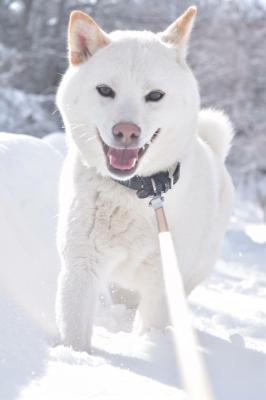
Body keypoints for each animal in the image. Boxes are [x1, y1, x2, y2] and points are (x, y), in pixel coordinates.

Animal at [55, 5, 233, 350]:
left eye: (155, 95)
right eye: (105, 91)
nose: (126, 131)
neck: (137, 192)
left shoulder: (163, 284)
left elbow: (152, 327)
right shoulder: (80, 268)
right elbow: (74, 334)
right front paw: (73, 356)